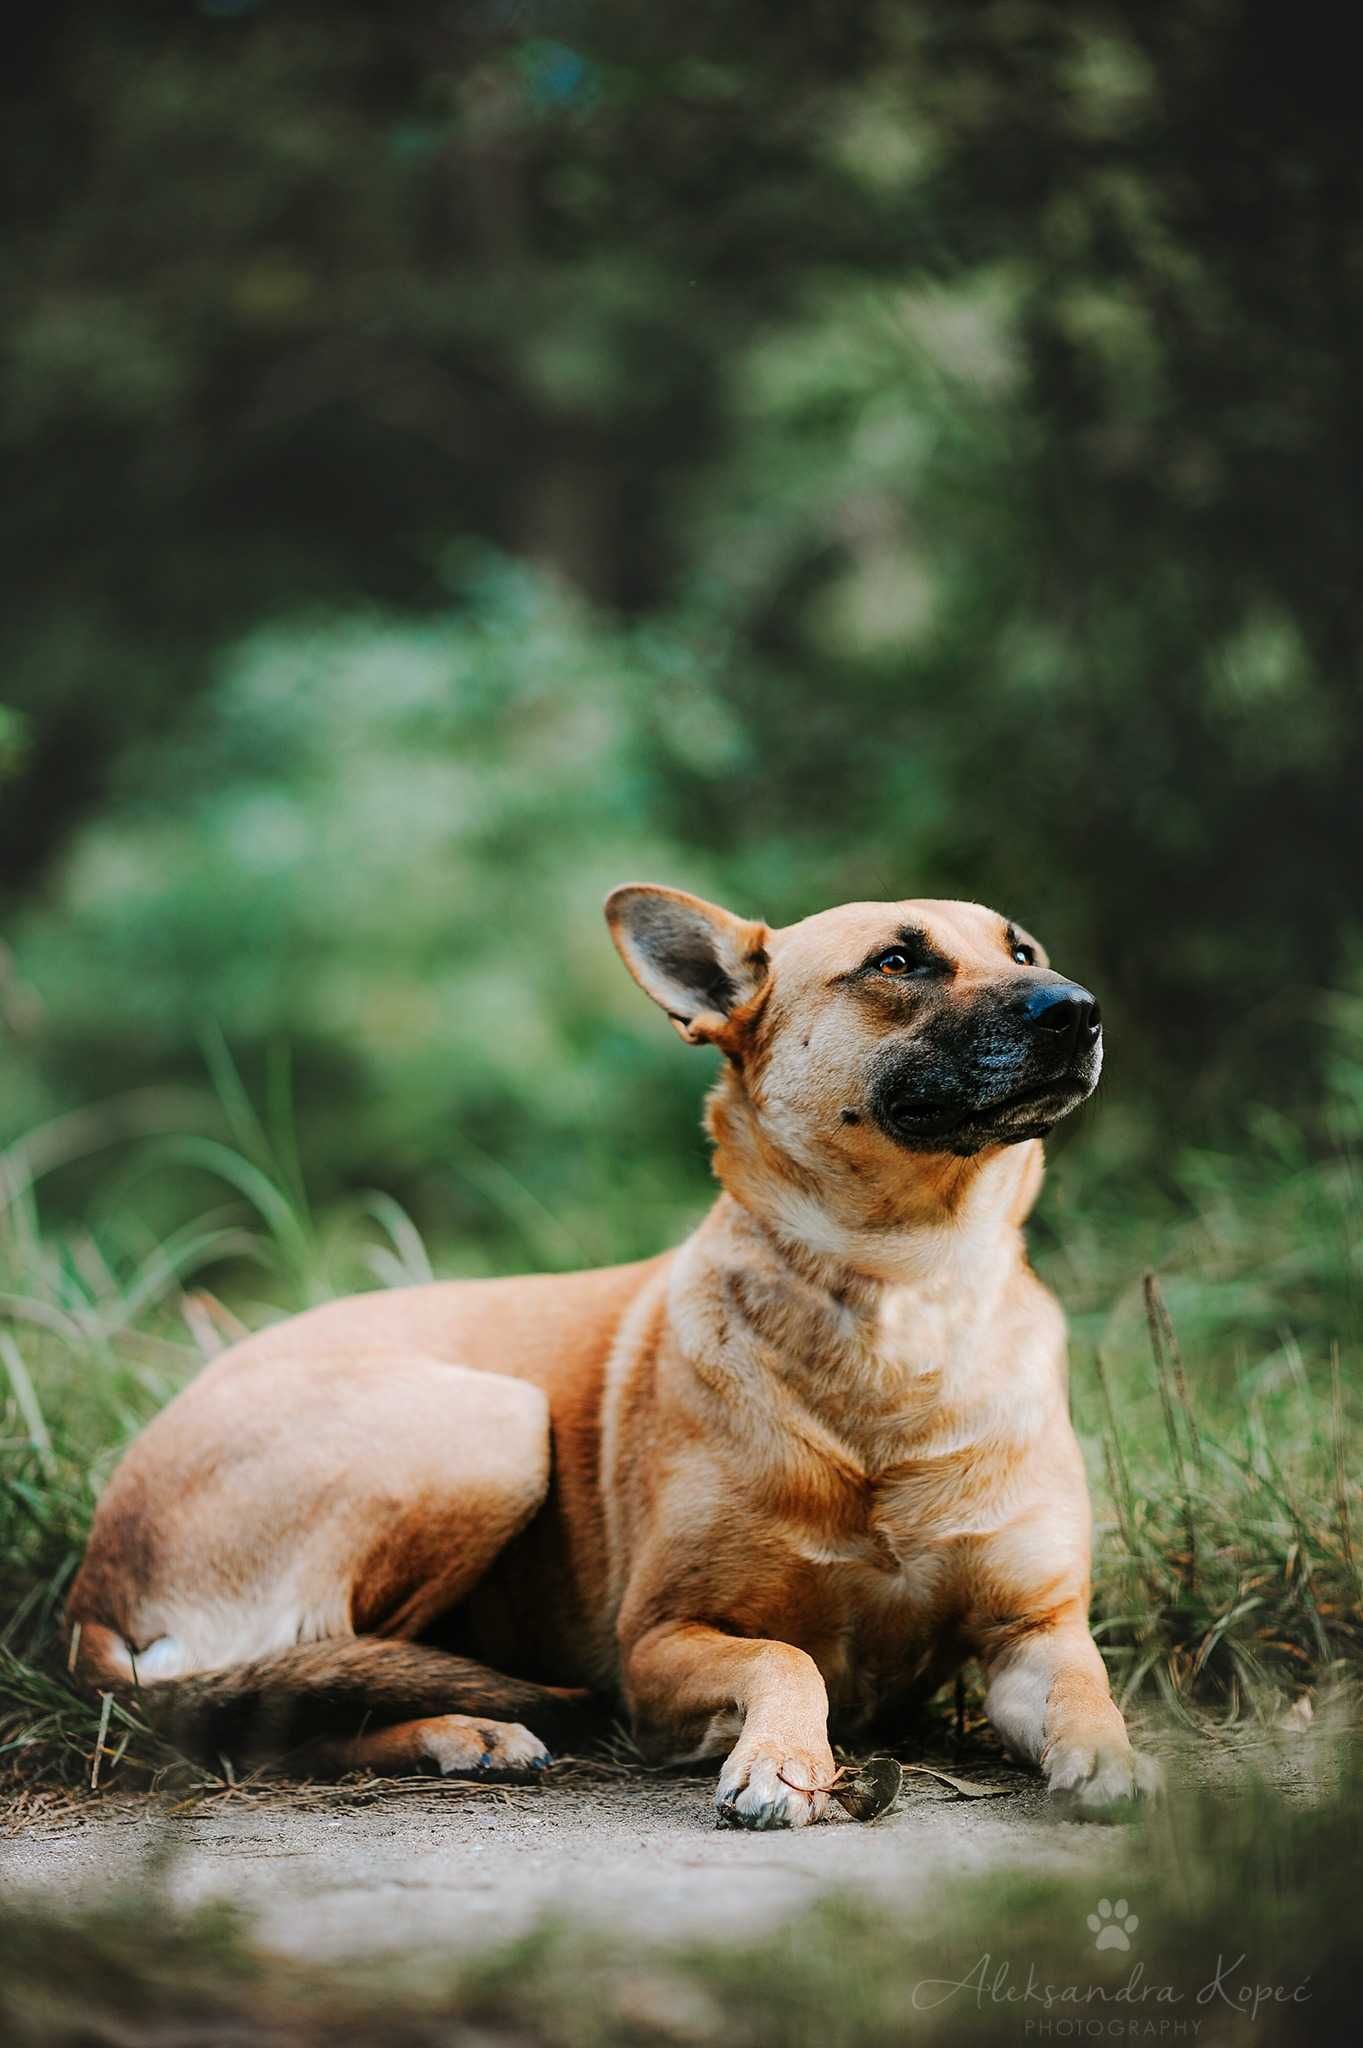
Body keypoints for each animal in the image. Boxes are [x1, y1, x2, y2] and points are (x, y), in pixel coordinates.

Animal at [69, 880, 1154, 1826]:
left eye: (1022, 952)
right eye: (897, 960)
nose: (1080, 1010)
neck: (903, 1298)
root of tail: (91, 1587)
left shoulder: (1034, 1630)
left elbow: (1085, 1690)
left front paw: (1112, 1760)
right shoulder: (659, 1642)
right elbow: (785, 1658)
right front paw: (781, 1758)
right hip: (491, 1427)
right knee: (295, 1698)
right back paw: (462, 1729)